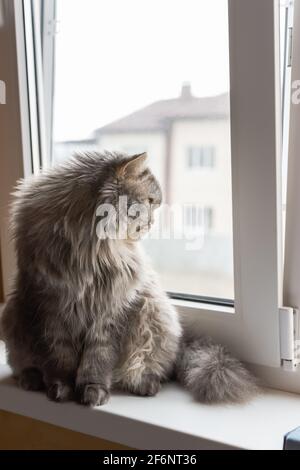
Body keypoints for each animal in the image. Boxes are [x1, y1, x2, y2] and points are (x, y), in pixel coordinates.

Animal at [1, 152, 256, 406]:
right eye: (150, 201)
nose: (152, 223)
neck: (90, 252)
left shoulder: (111, 309)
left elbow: (97, 359)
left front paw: (92, 391)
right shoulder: (51, 309)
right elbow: (60, 359)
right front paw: (61, 389)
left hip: (154, 312)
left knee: (153, 367)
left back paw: (146, 385)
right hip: (13, 316)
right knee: (22, 364)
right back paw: (31, 379)